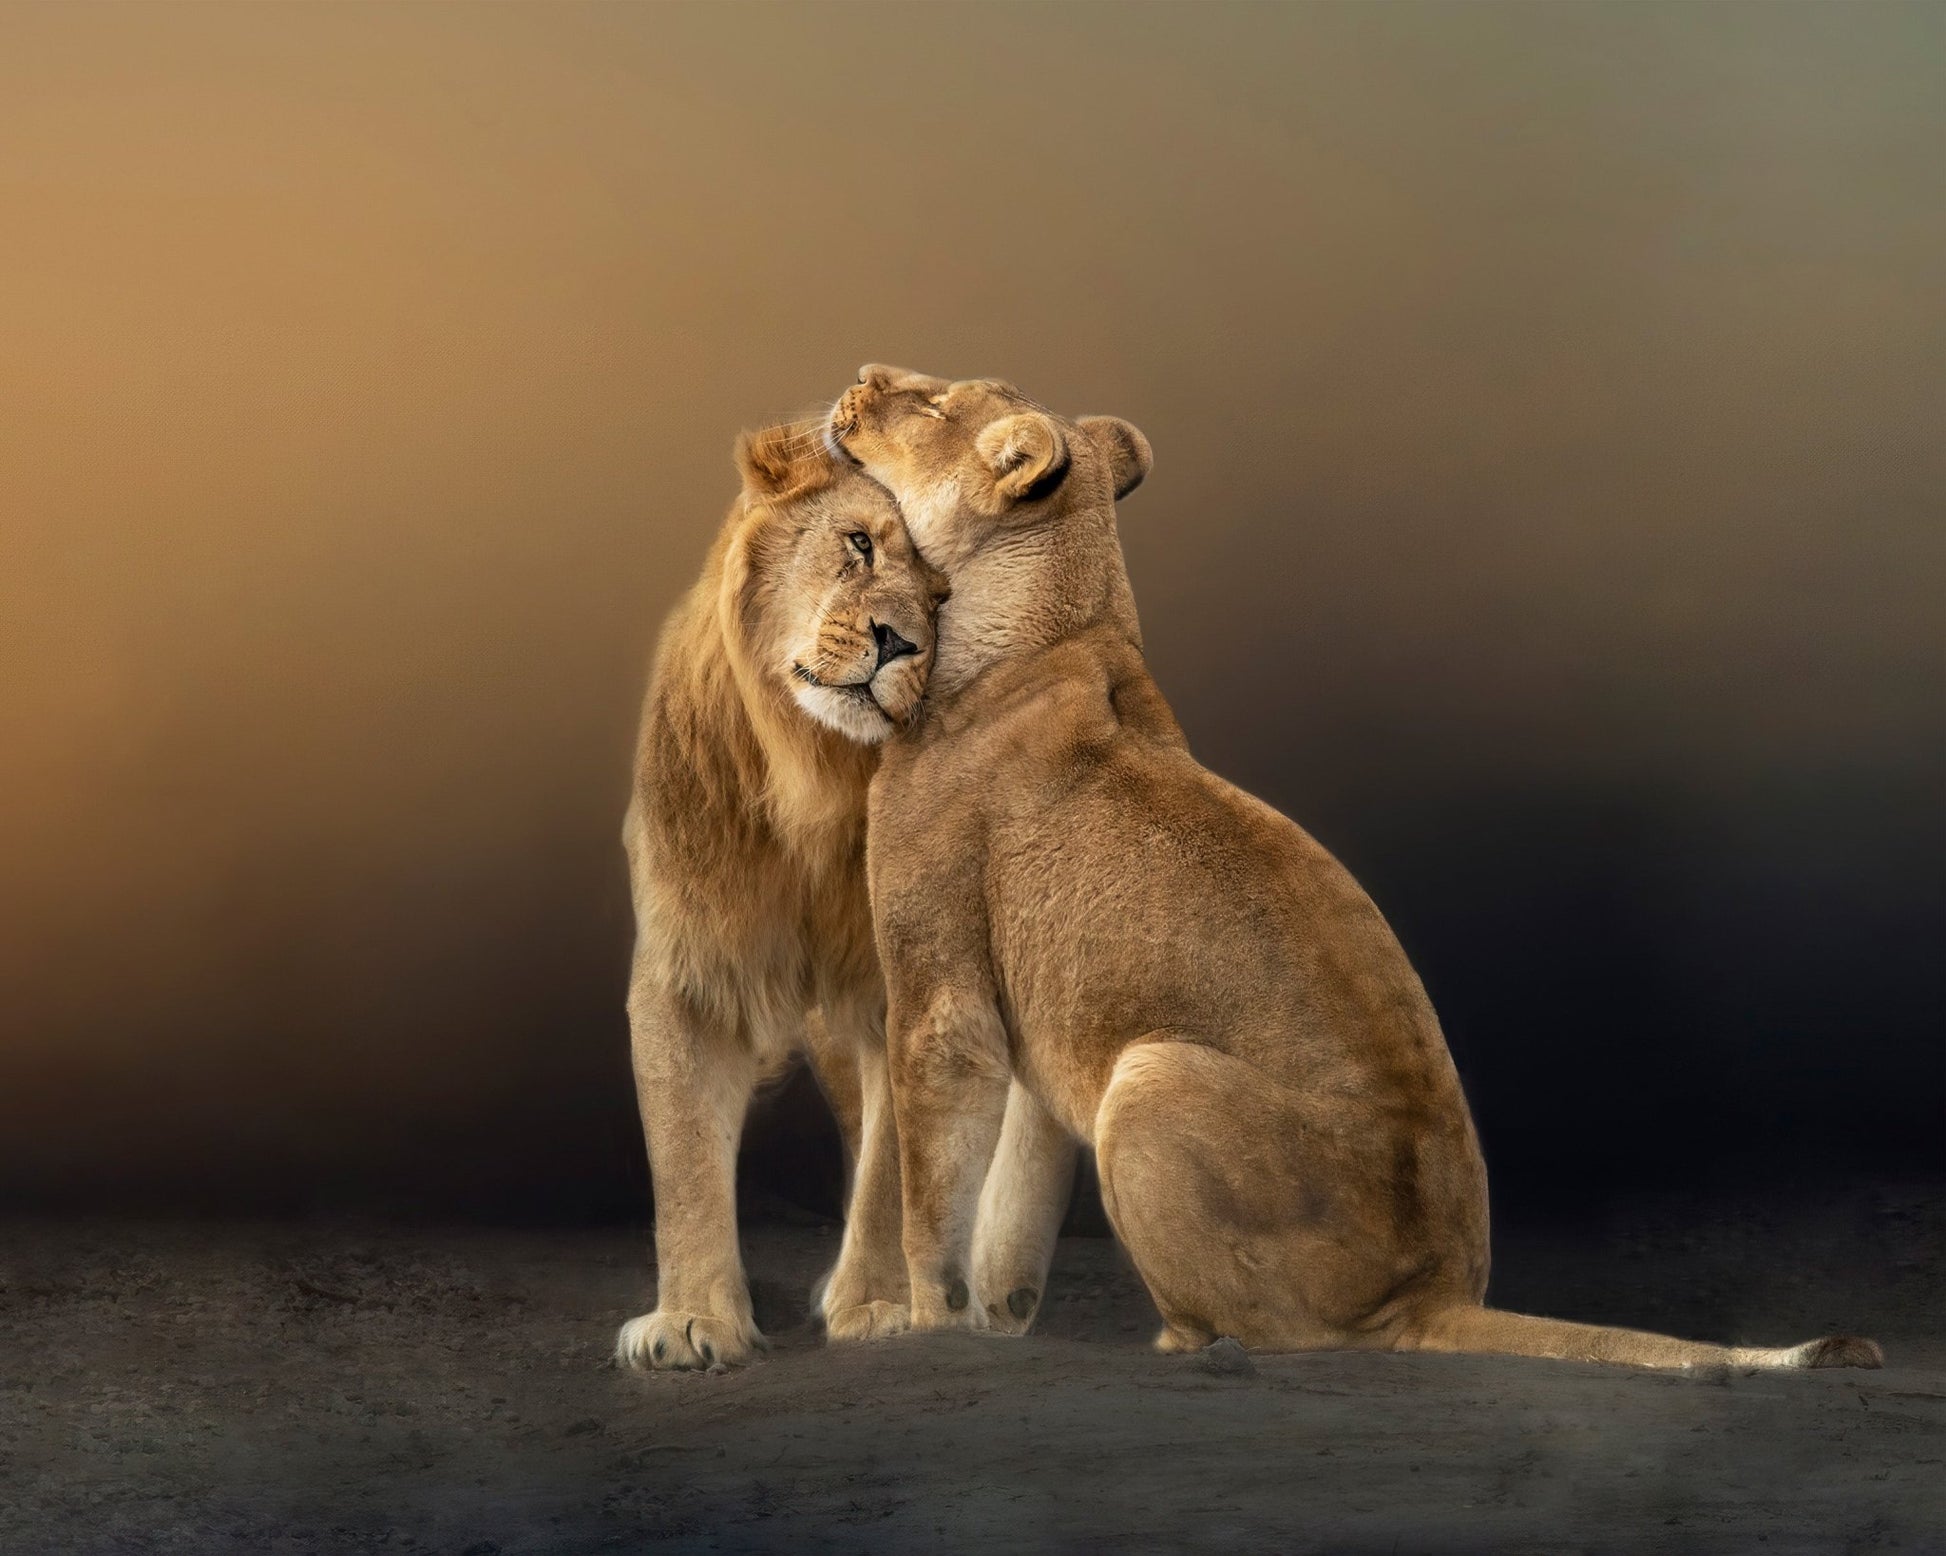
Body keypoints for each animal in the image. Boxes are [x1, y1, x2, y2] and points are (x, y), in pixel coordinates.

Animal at [613, 420, 1074, 1371]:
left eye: (941, 599)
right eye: (859, 544)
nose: (897, 641)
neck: (814, 775)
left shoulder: (913, 981)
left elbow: (899, 1170)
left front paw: (881, 1305)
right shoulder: (687, 969)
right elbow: (684, 1160)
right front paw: (691, 1320)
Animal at [826, 364, 1882, 1372]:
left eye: (931, 403)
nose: (865, 373)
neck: (1052, 626)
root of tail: (1433, 1296)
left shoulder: (943, 1002)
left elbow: (934, 1199)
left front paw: (923, 1326)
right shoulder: (1030, 1026)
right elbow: (1014, 1196)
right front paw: (996, 1320)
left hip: (1151, 1074)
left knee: (1266, 1335)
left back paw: (1183, 1344)